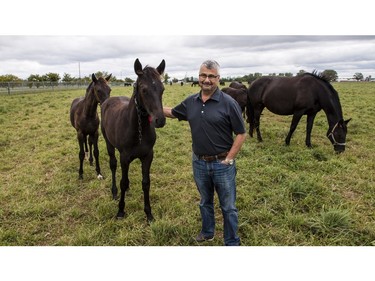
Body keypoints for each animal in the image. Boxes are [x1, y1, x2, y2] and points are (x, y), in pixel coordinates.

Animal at [100, 59, 165, 221]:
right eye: (144, 90)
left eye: (162, 89)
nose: (160, 120)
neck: (138, 130)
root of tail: (107, 101)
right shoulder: (124, 157)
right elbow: (123, 182)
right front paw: (120, 211)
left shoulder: (148, 156)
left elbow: (146, 183)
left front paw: (149, 214)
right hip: (109, 143)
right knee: (113, 165)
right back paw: (114, 191)